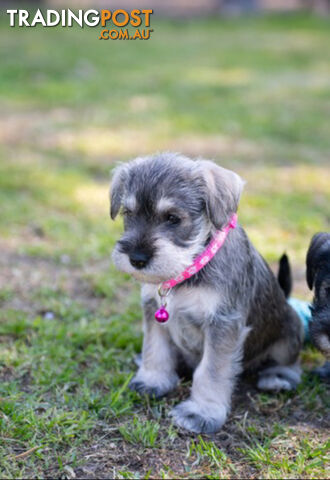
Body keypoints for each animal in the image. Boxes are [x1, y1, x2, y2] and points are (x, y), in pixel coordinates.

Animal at [109, 155, 302, 436]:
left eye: (173, 218)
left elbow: (211, 371)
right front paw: (152, 380)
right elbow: (155, 348)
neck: (187, 269)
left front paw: (201, 413)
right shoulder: (153, 310)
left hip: (290, 332)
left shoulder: (222, 325)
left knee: (290, 362)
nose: (137, 259)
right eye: (128, 213)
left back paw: (277, 378)